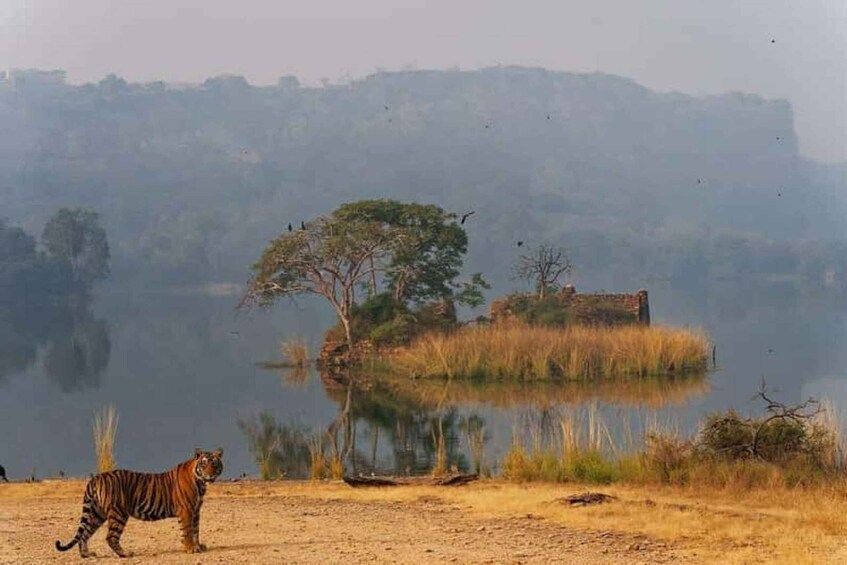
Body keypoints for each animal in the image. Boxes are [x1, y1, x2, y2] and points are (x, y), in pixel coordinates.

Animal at [55, 448, 223, 558]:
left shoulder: (196, 510)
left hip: (97, 513)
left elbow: (196, 530)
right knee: (110, 536)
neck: (201, 483)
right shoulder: (187, 510)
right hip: (118, 513)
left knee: (85, 533)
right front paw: (191, 549)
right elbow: (188, 530)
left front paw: (198, 546)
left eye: (215, 463)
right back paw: (125, 554)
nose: (210, 474)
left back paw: (87, 554)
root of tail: (96, 477)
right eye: (204, 463)